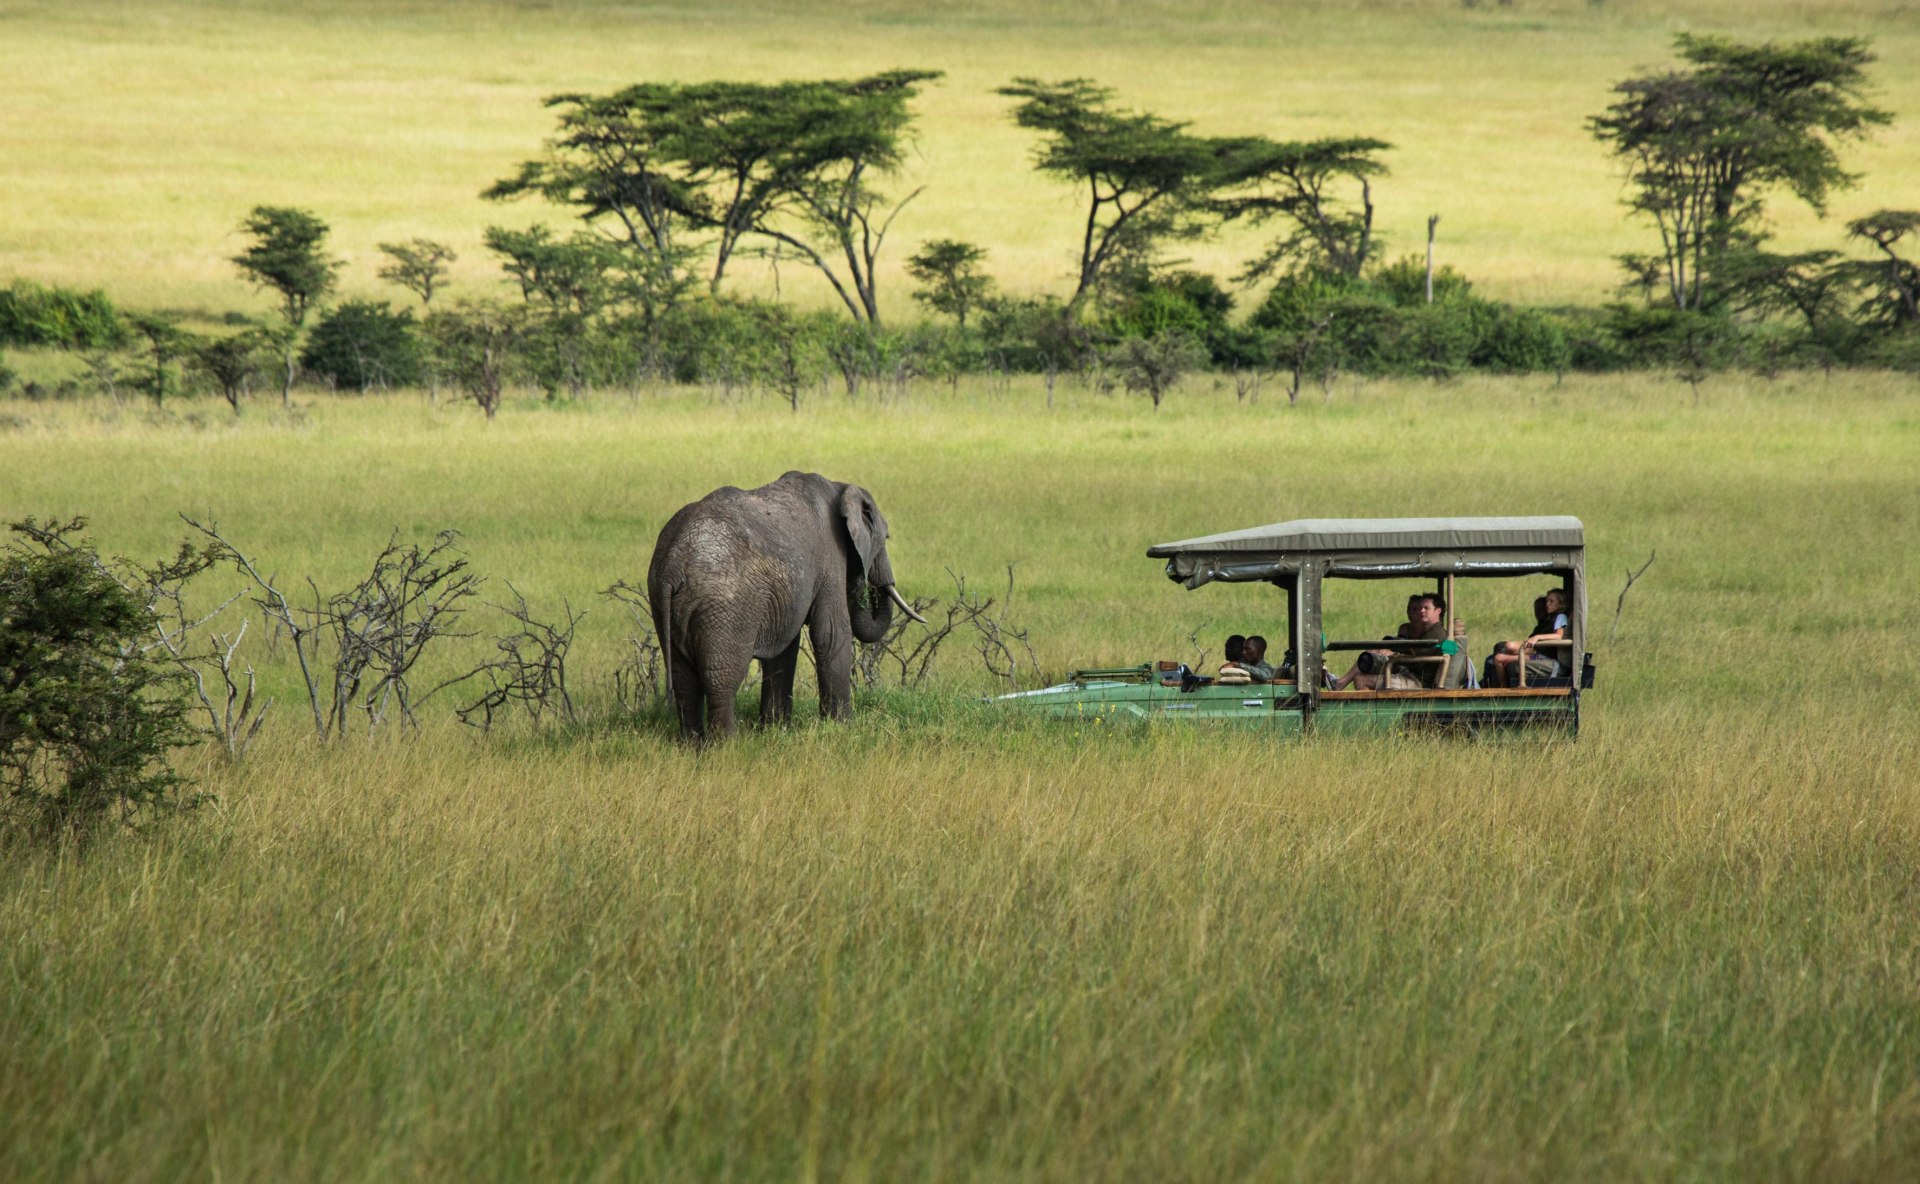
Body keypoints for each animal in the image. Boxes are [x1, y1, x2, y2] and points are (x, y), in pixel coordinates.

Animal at [645, 470, 921, 736]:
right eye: (885, 538)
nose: (863, 584)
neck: (839, 486)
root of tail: (673, 563)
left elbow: (785, 648)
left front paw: (777, 729)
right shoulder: (830, 556)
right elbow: (831, 634)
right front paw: (844, 728)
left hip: (664, 601)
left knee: (683, 680)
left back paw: (693, 745)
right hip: (725, 605)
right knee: (722, 680)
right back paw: (727, 744)